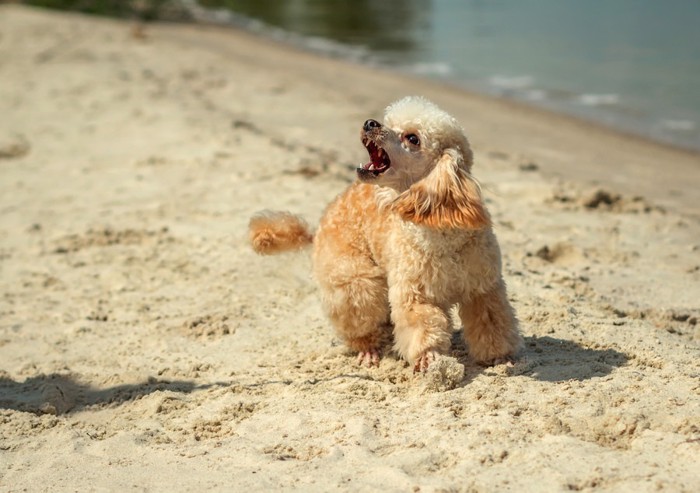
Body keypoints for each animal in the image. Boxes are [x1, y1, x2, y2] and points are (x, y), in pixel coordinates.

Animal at [250, 96, 520, 368]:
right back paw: (368, 347)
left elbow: (492, 321)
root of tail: (317, 229)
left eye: (413, 138)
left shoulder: (483, 289)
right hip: (355, 280)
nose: (370, 123)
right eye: (389, 121)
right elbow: (423, 325)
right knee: (359, 315)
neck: (440, 231)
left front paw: (498, 356)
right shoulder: (415, 294)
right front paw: (429, 357)